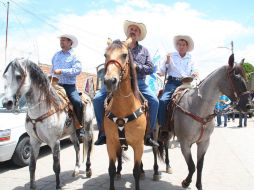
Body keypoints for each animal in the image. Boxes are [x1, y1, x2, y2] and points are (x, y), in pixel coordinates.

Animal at [1, 58, 95, 190]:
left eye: (19, 76)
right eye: (5, 76)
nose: (7, 103)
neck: (42, 109)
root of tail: (87, 95)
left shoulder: (54, 142)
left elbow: (56, 166)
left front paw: (58, 185)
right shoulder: (34, 141)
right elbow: (32, 166)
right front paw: (32, 186)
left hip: (88, 128)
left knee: (89, 146)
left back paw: (88, 170)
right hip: (71, 133)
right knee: (77, 147)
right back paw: (76, 169)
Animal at [102, 37, 146, 189]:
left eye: (124, 55)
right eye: (105, 55)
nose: (110, 81)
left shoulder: (139, 144)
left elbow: (136, 171)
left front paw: (140, 173)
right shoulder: (110, 143)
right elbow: (110, 169)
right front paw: (114, 173)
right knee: (119, 156)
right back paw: (119, 172)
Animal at [157, 53, 250, 190]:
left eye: (245, 77)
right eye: (236, 78)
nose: (248, 106)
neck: (198, 108)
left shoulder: (204, 142)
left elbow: (199, 166)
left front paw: (198, 185)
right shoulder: (184, 143)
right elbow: (192, 166)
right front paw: (186, 182)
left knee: (165, 146)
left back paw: (168, 166)